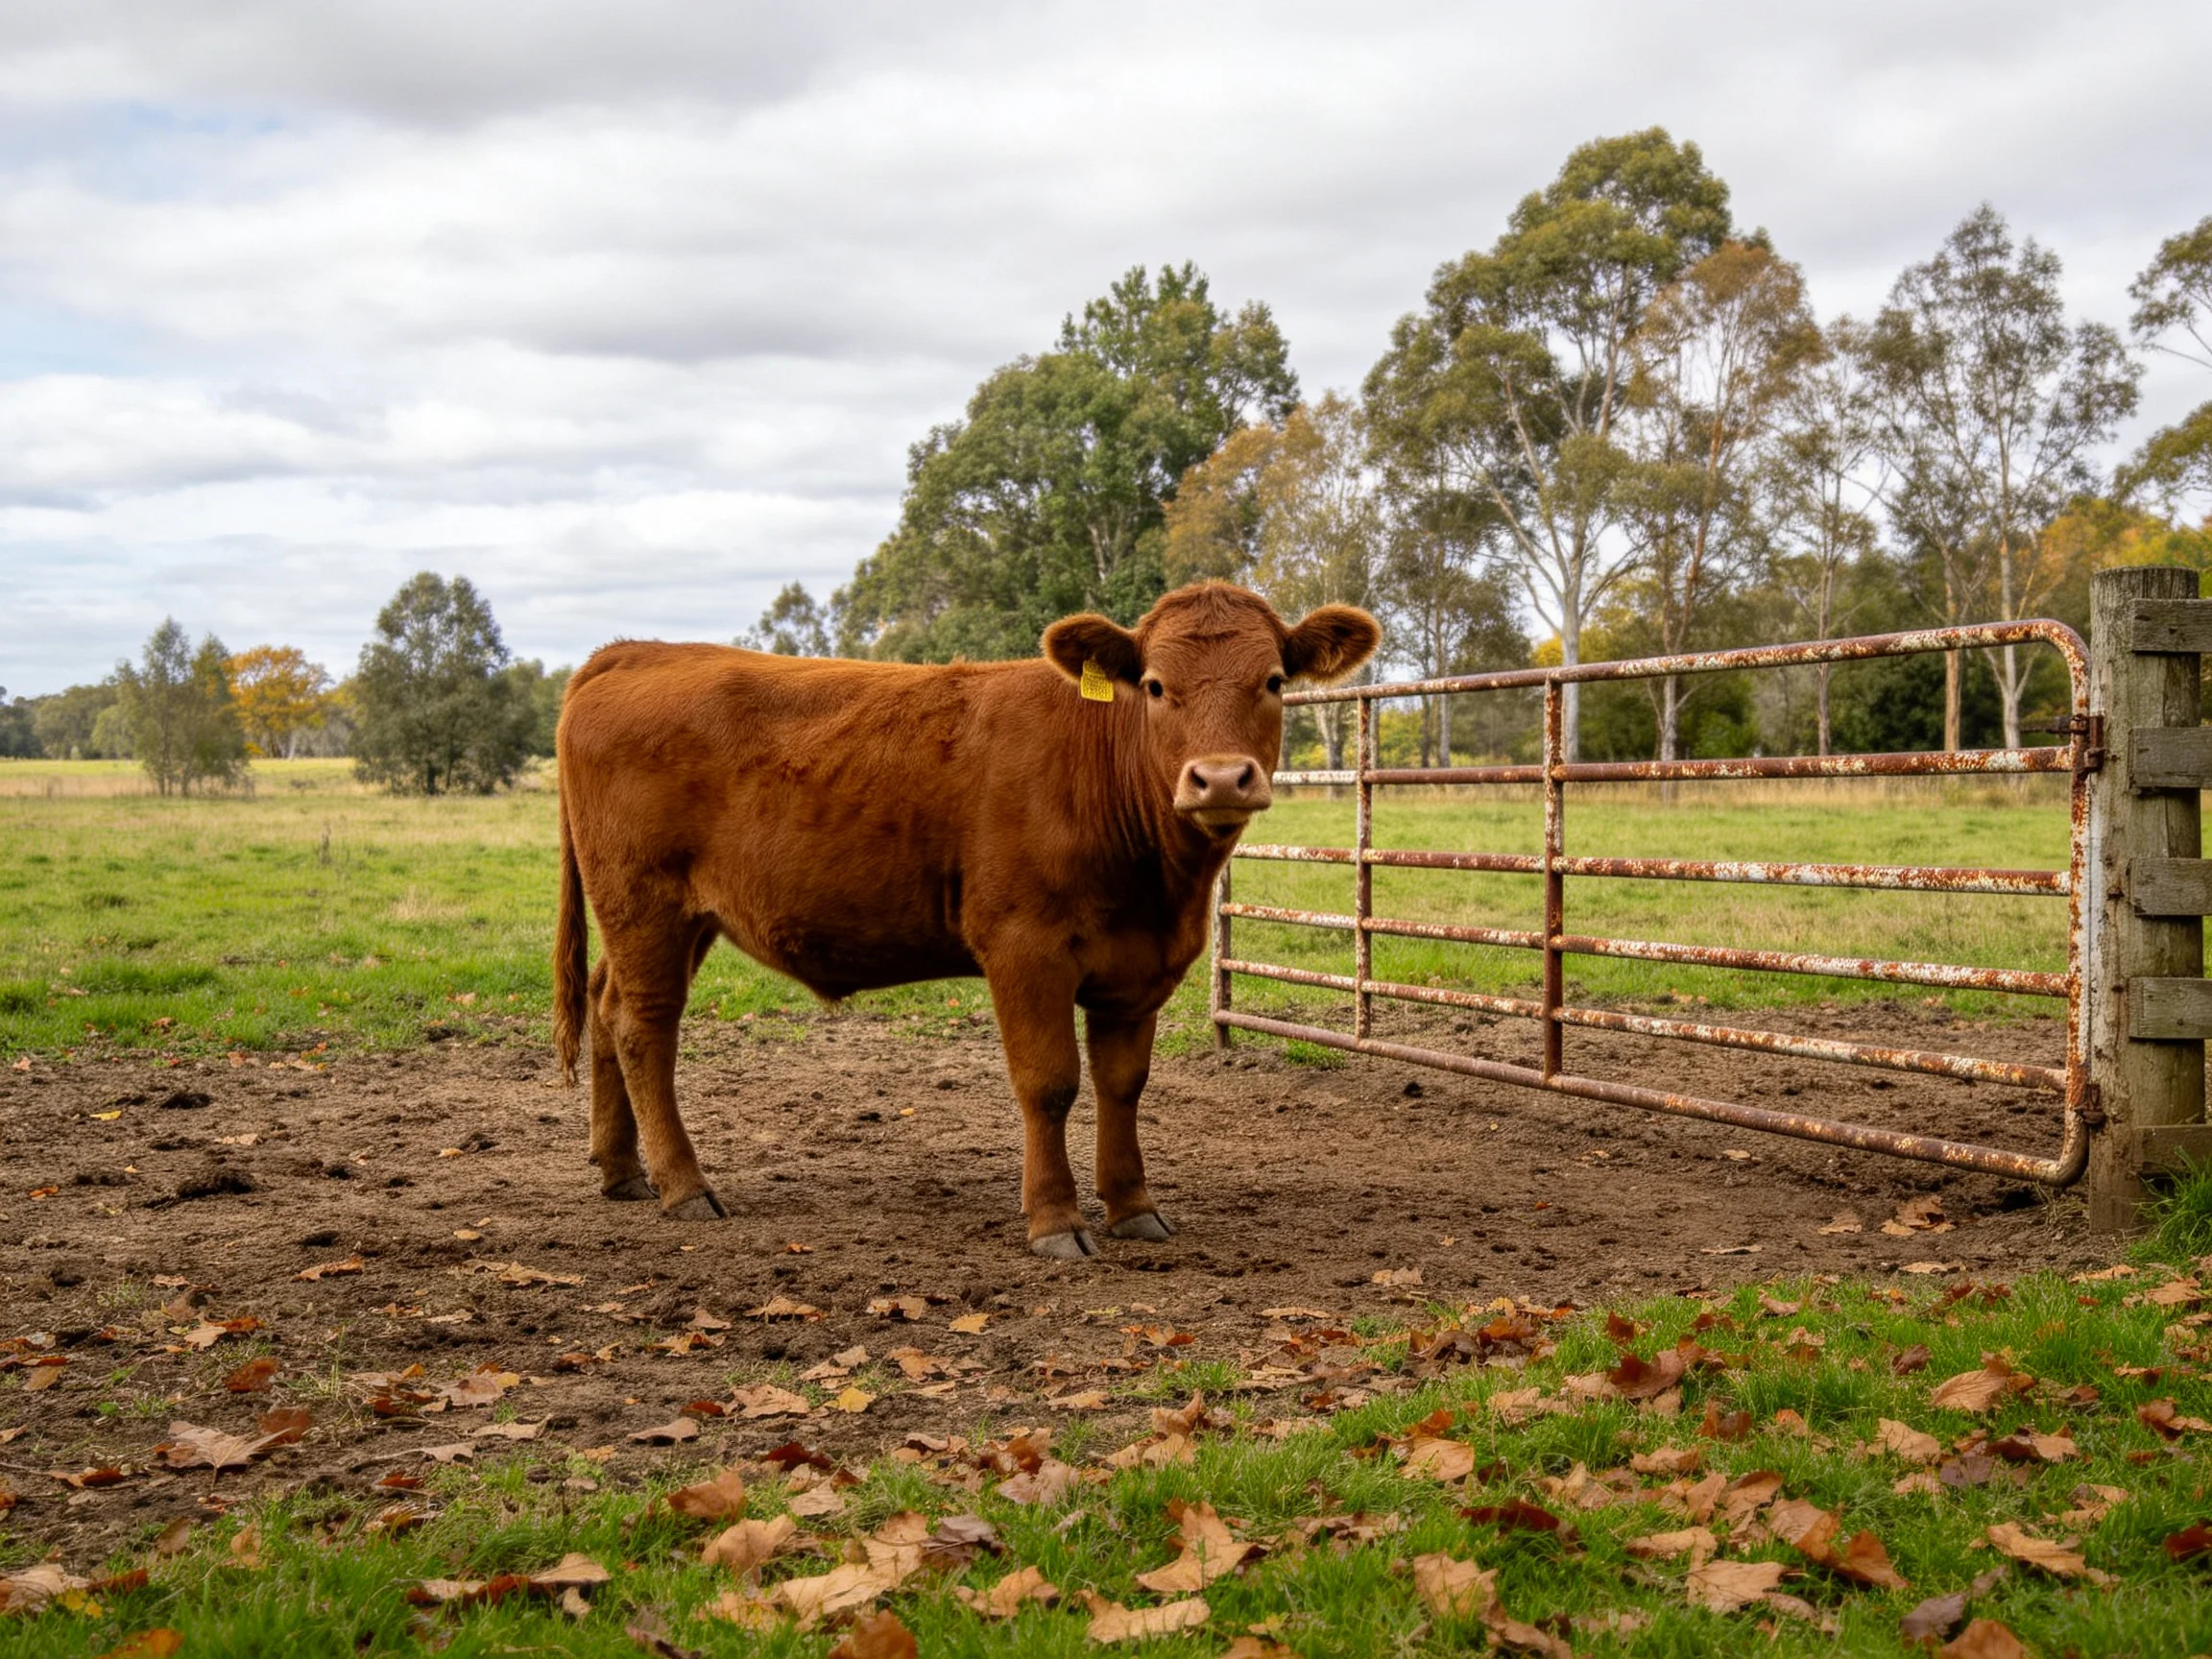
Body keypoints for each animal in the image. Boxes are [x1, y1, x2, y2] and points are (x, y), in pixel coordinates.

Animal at [552, 581, 1379, 1258]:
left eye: (1273, 681)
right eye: (1154, 685)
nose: (1220, 779)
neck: (1160, 884)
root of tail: (634, 652)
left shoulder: (1138, 966)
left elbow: (1123, 1085)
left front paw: (1133, 1208)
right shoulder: (1025, 948)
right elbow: (1050, 1083)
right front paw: (1056, 1222)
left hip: (678, 919)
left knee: (606, 1004)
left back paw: (622, 1172)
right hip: (646, 903)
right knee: (643, 1027)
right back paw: (684, 1185)